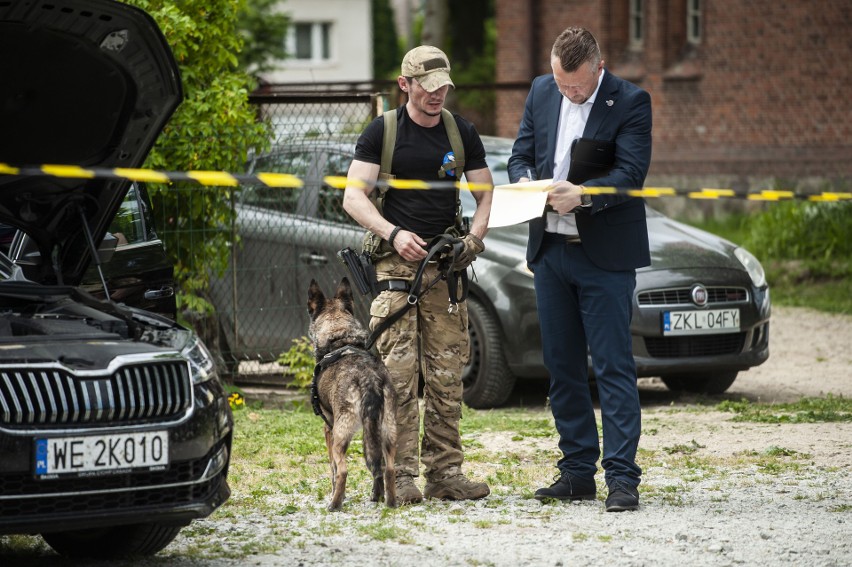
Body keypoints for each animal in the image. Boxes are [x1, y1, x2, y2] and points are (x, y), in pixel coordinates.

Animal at [308, 278, 398, 512]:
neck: (340, 337)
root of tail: (369, 380)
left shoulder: (328, 430)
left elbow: (331, 469)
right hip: (388, 431)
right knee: (387, 468)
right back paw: (388, 501)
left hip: (341, 434)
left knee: (343, 470)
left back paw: (334, 504)